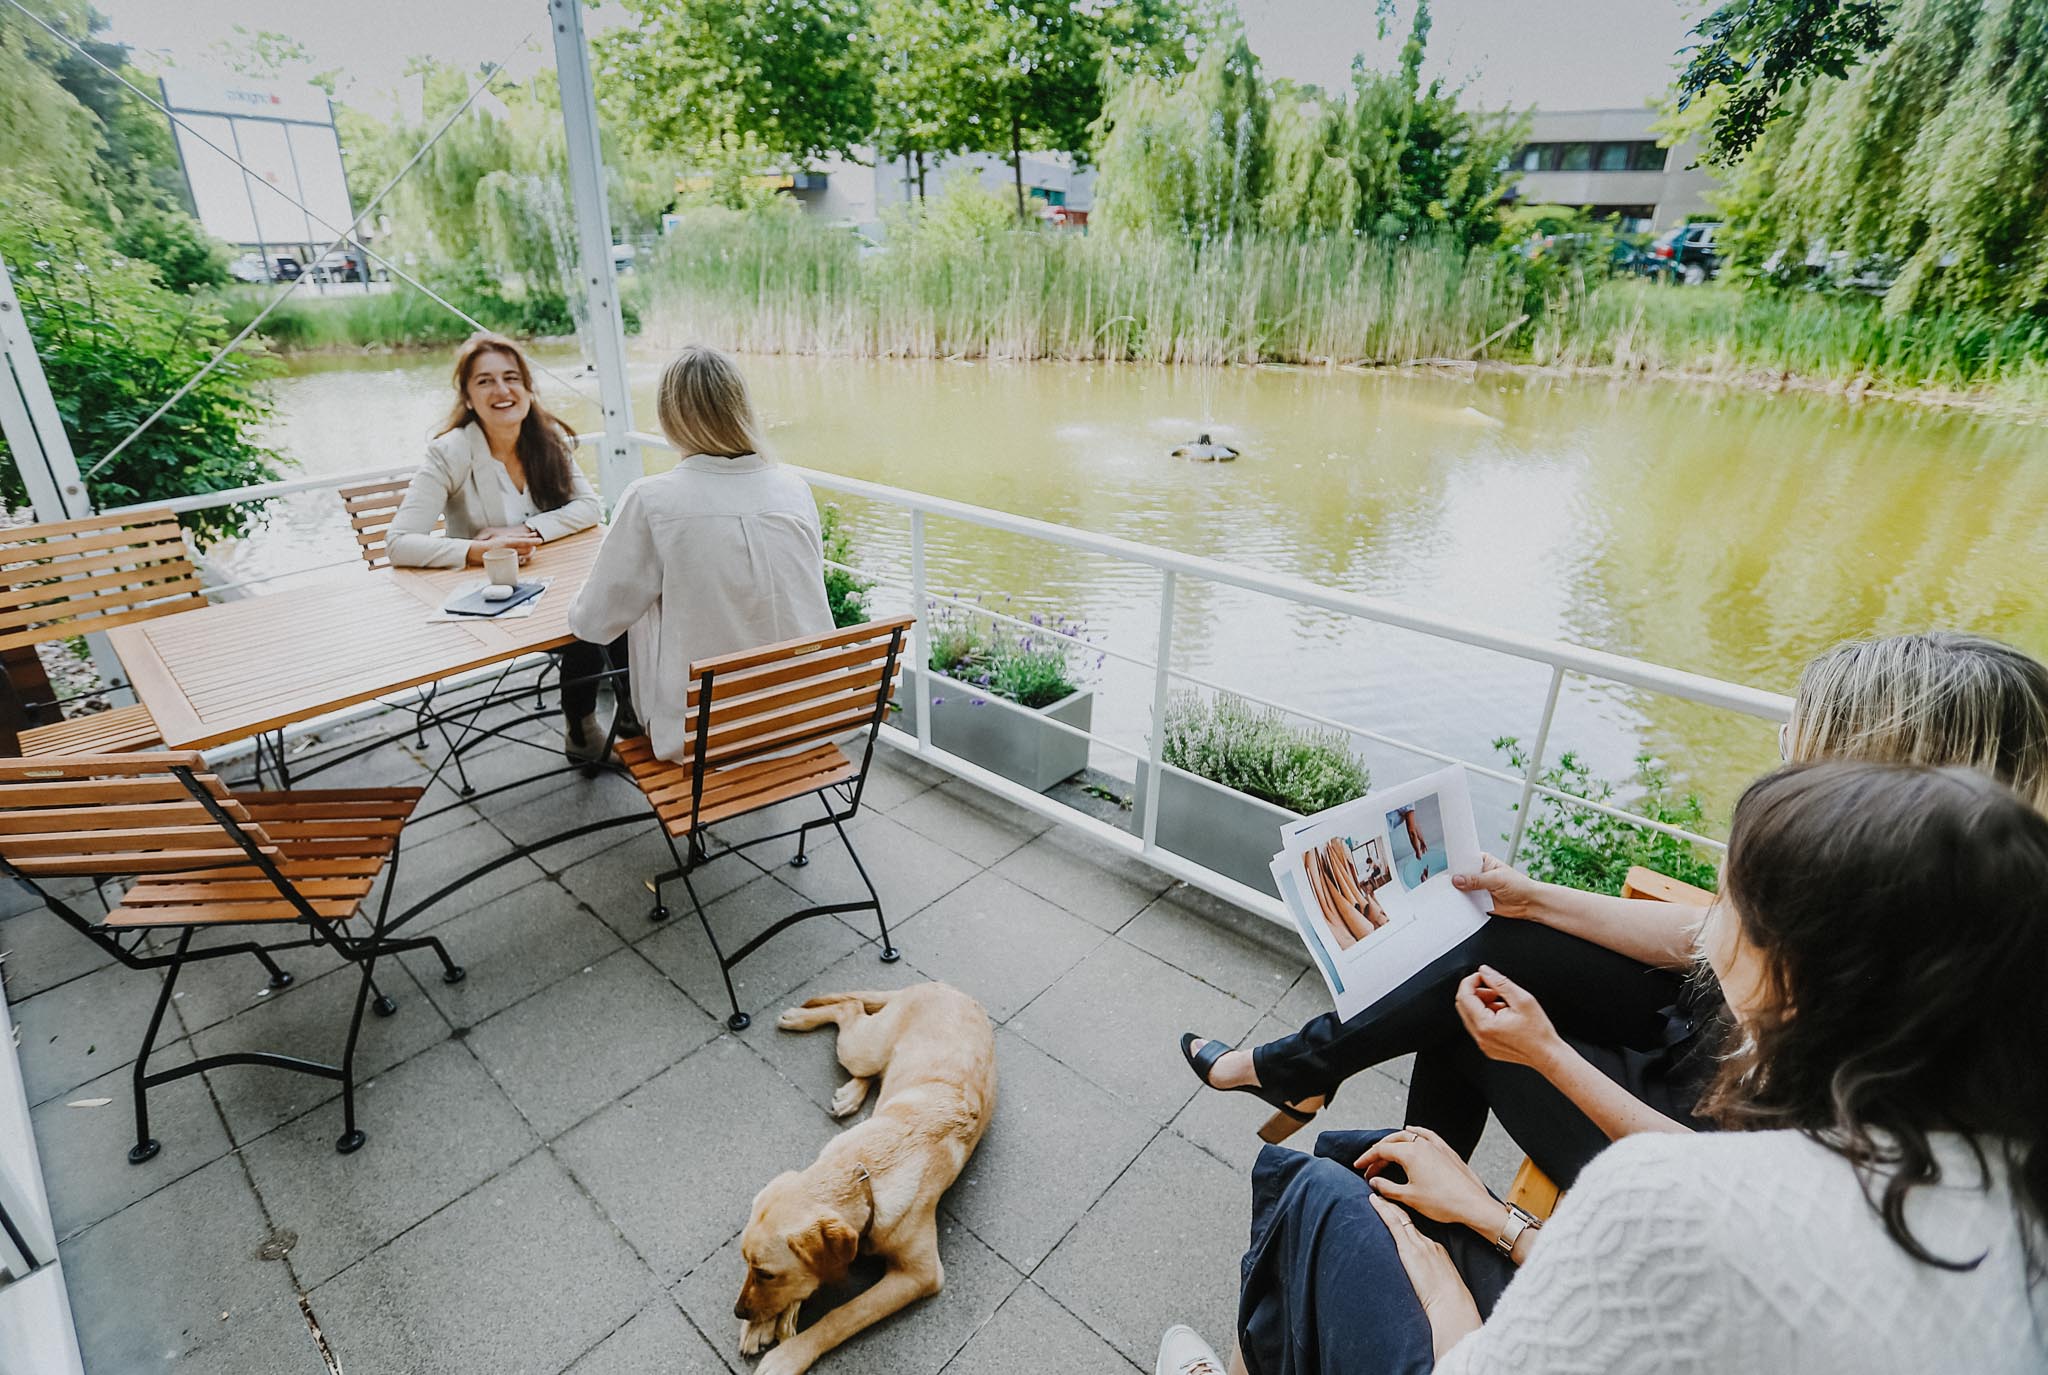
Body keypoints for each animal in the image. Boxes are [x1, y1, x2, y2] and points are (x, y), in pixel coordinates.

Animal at [733, 983, 995, 1368]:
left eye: (766, 1273)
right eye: (748, 1265)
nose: (739, 1312)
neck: (864, 1173)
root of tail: (944, 986)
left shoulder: (920, 1274)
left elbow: (843, 1315)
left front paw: (789, 1354)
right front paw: (761, 1326)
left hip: (864, 1049)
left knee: (852, 1008)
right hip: (866, 1050)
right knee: (851, 1010)